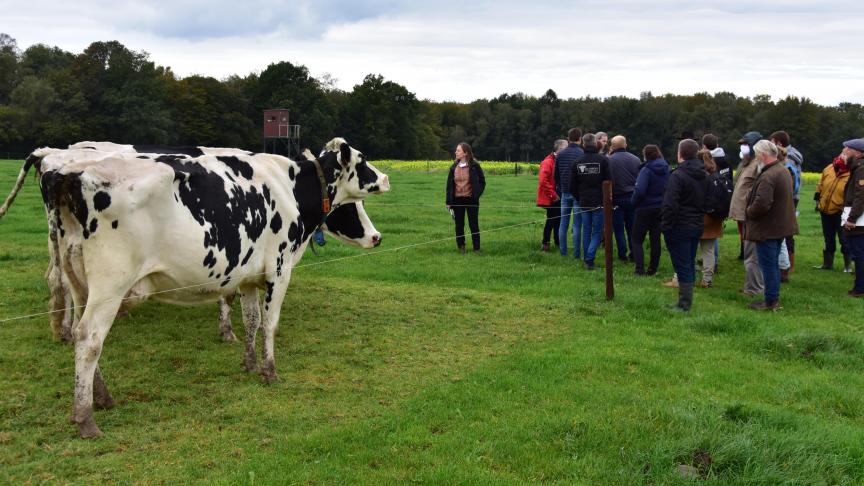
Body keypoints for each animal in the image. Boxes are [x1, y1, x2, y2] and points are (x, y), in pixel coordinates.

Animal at [31, 137, 388, 436]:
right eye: (363, 160)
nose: (377, 237)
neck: (291, 188)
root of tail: (71, 173)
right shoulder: (279, 269)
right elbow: (270, 323)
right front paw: (270, 370)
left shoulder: (247, 276)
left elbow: (252, 320)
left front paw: (249, 363)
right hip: (110, 285)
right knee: (90, 338)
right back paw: (85, 417)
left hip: (79, 280)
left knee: (80, 329)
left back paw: (101, 396)